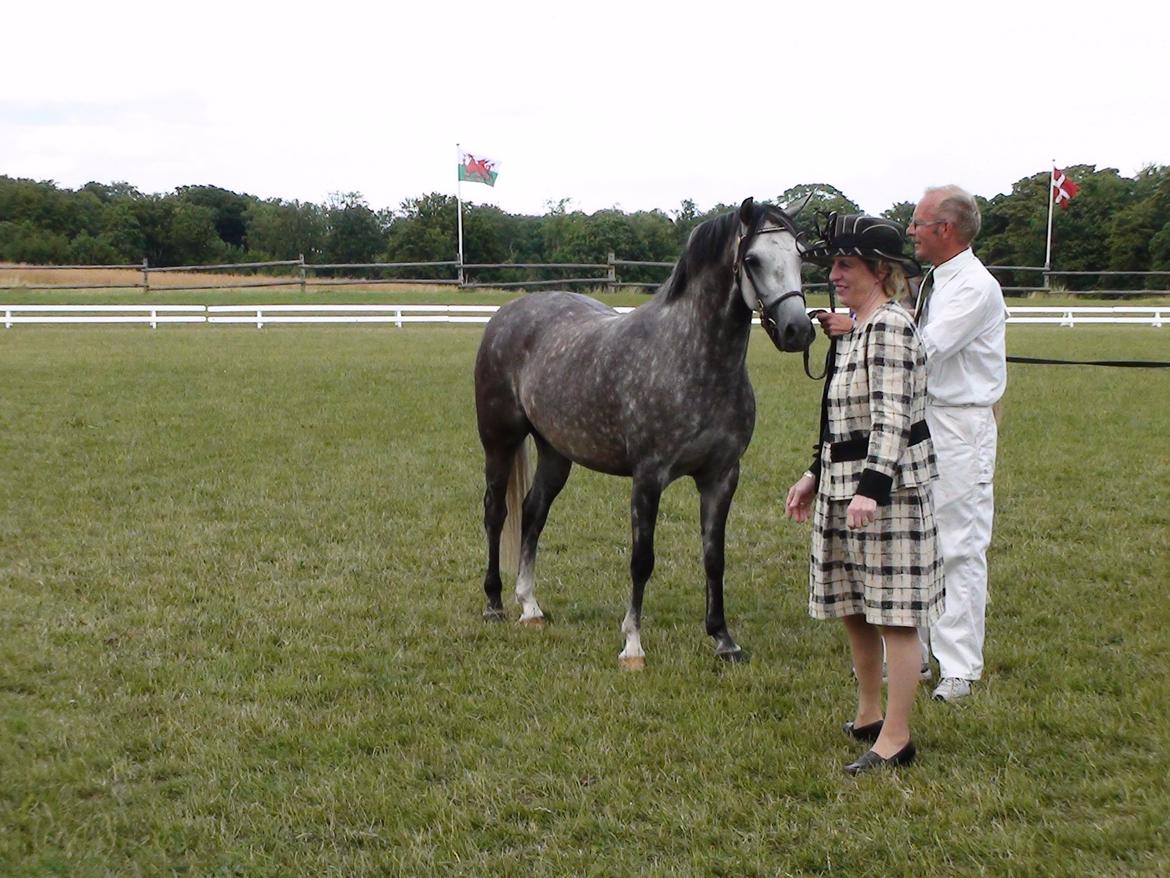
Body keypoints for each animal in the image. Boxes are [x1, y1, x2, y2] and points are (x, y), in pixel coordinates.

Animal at [473, 197, 814, 669]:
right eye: (753, 260)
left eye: (801, 256)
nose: (798, 330)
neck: (691, 359)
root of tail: (505, 316)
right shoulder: (649, 478)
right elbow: (642, 559)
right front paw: (632, 645)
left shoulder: (722, 476)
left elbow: (715, 558)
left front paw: (724, 641)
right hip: (499, 441)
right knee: (496, 512)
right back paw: (493, 604)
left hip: (556, 453)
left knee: (533, 511)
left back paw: (530, 607)